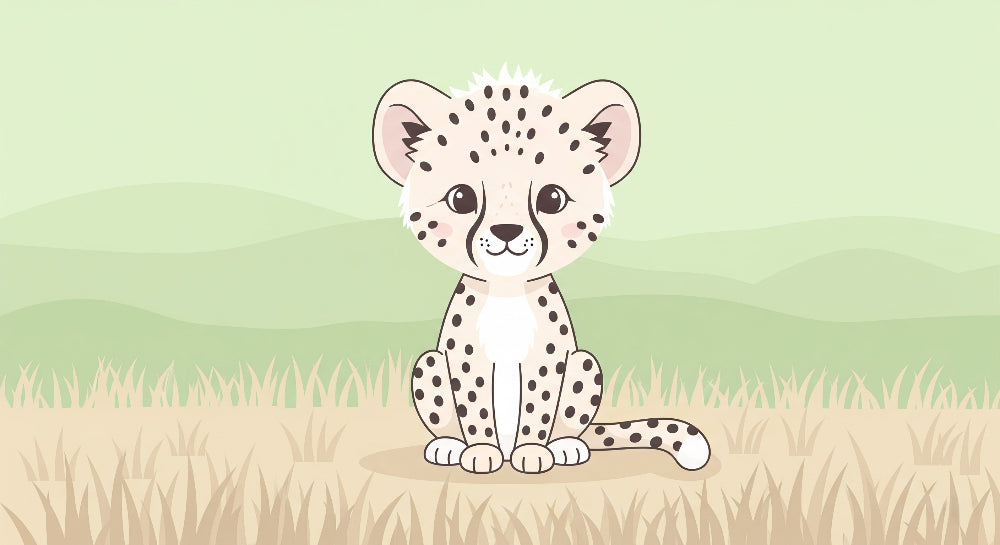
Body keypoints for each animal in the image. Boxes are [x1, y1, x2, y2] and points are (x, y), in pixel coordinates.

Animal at [371, 66, 711, 474]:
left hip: (583, 363)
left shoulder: (549, 359)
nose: (506, 232)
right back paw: (449, 445)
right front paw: (480, 451)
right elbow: (474, 406)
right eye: (461, 198)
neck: (507, 290)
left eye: (552, 198)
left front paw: (532, 451)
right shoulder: (465, 359)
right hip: (431, 363)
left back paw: (565, 446)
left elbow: (538, 405)